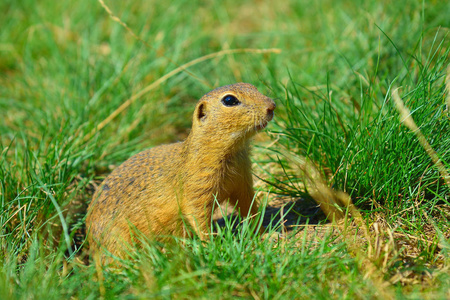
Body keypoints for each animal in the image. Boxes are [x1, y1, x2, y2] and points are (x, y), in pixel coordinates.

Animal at [84, 83, 274, 262]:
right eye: (229, 100)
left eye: (253, 87)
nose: (272, 106)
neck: (233, 153)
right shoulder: (197, 186)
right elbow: (198, 216)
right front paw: (213, 245)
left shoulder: (243, 180)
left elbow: (249, 207)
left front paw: (265, 233)